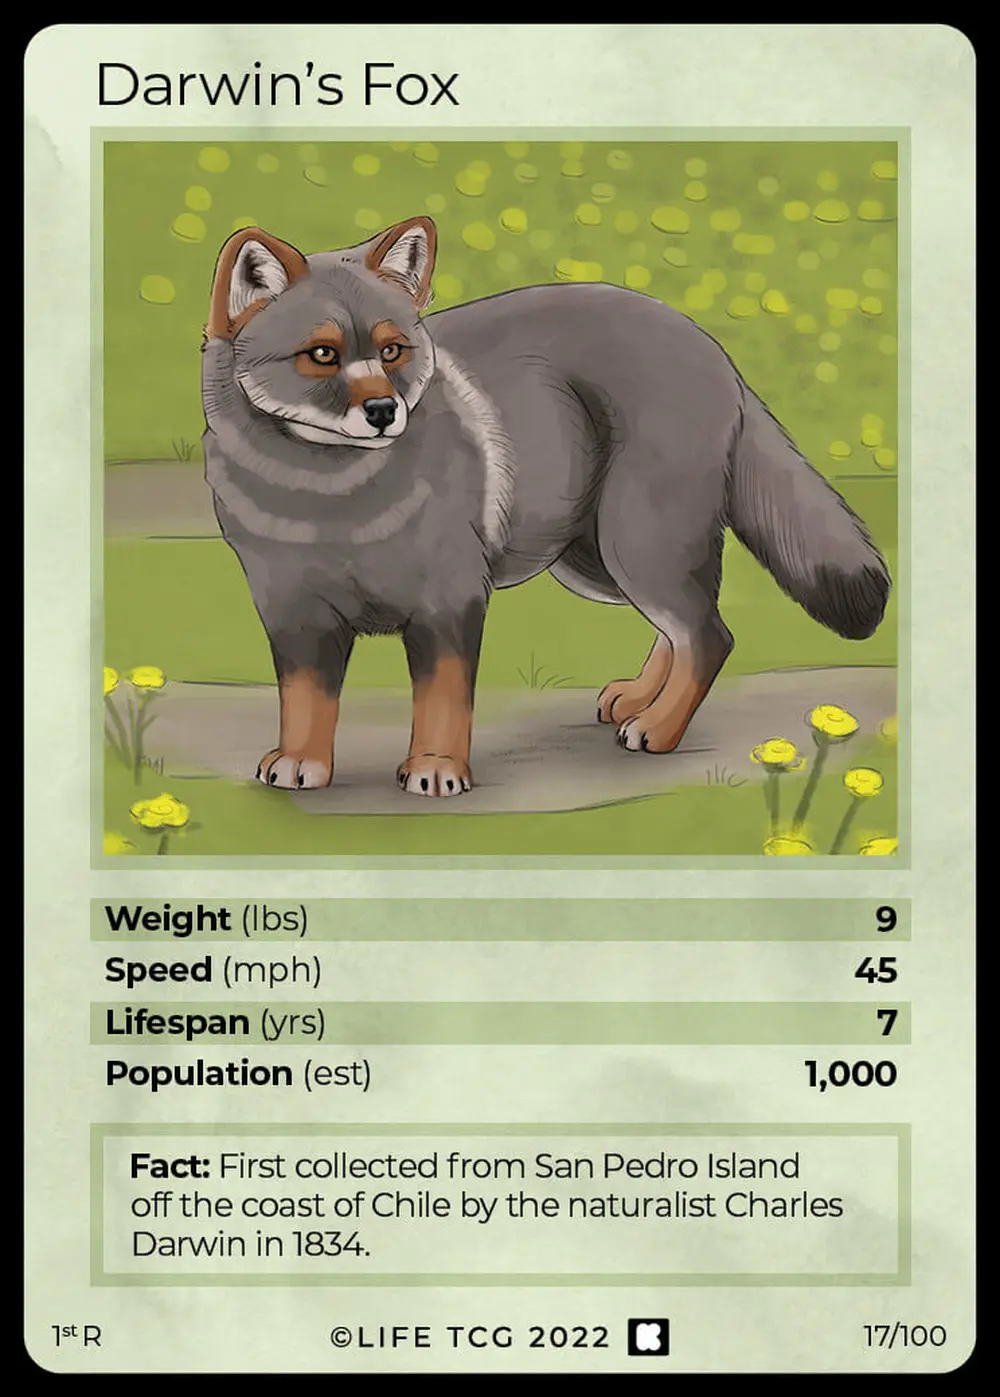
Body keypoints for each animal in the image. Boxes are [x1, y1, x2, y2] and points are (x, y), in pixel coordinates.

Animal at [201, 215, 890, 797]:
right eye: (322, 354)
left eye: (392, 351)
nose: (382, 411)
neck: (332, 510)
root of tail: (707, 343)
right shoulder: (293, 614)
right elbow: (306, 703)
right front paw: (303, 762)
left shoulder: (450, 601)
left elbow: (443, 702)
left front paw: (436, 769)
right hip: (596, 563)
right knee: (680, 629)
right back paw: (639, 700)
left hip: (634, 544)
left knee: (709, 635)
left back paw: (659, 730)